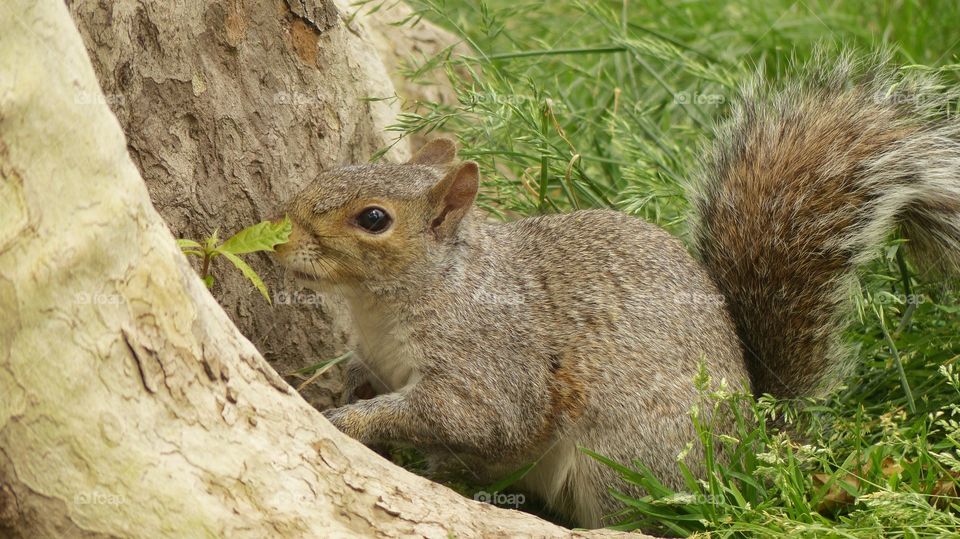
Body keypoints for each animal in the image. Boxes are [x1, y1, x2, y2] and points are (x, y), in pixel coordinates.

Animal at [276, 52, 960, 528]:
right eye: (336, 168)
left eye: (373, 219)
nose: (279, 241)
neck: (388, 304)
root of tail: (749, 449)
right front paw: (344, 386)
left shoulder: (491, 362)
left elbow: (472, 415)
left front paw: (353, 420)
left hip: (626, 458)